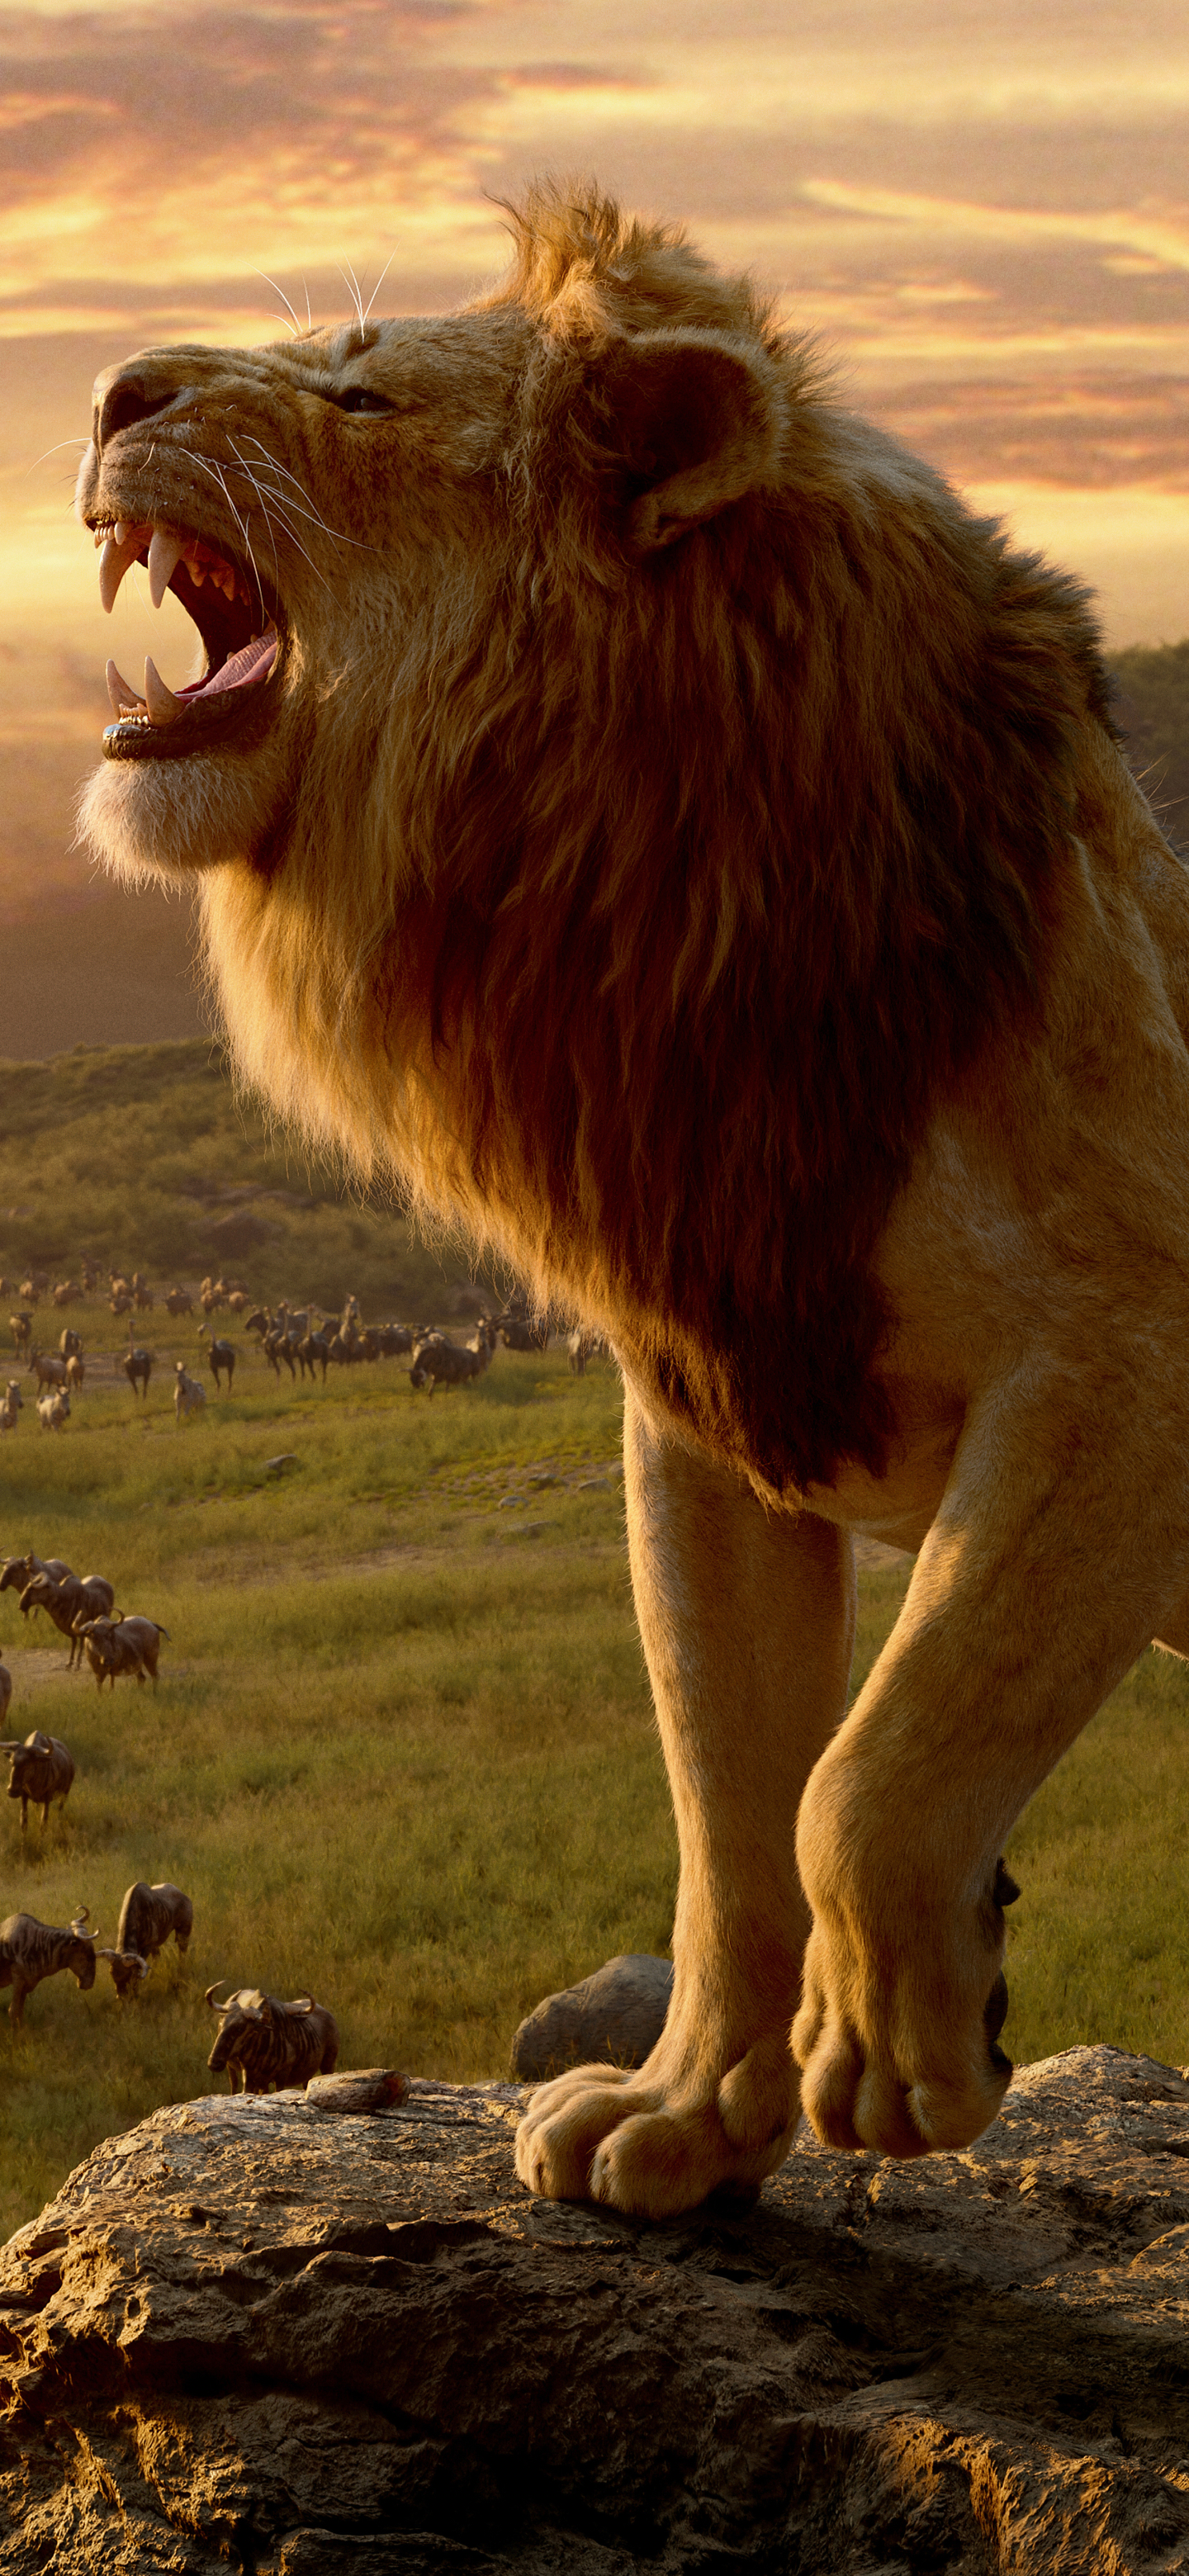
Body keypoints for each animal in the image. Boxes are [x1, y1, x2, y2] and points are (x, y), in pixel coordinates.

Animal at [74, 183, 1189, 2216]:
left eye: (359, 396)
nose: (110, 389)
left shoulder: (1128, 1357)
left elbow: (871, 1771)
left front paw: (903, 2050)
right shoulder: (709, 1388)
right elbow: (731, 1803)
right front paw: (685, 2119)